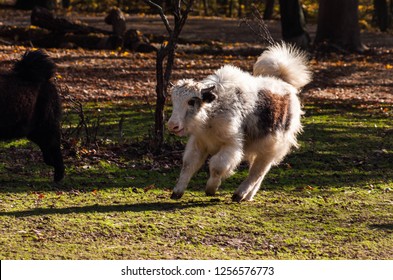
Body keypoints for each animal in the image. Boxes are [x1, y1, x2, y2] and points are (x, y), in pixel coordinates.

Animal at [167, 42, 310, 202]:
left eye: (191, 102)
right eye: (173, 101)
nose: (172, 125)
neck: (212, 113)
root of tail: (284, 84)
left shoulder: (232, 144)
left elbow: (217, 166)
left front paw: (211, 189)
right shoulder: (199, 142)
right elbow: (189, 164)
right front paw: (177, 192)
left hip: (272, 147)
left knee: (258, 171)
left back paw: (239, 194)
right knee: (258, 171)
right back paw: (248, 196)